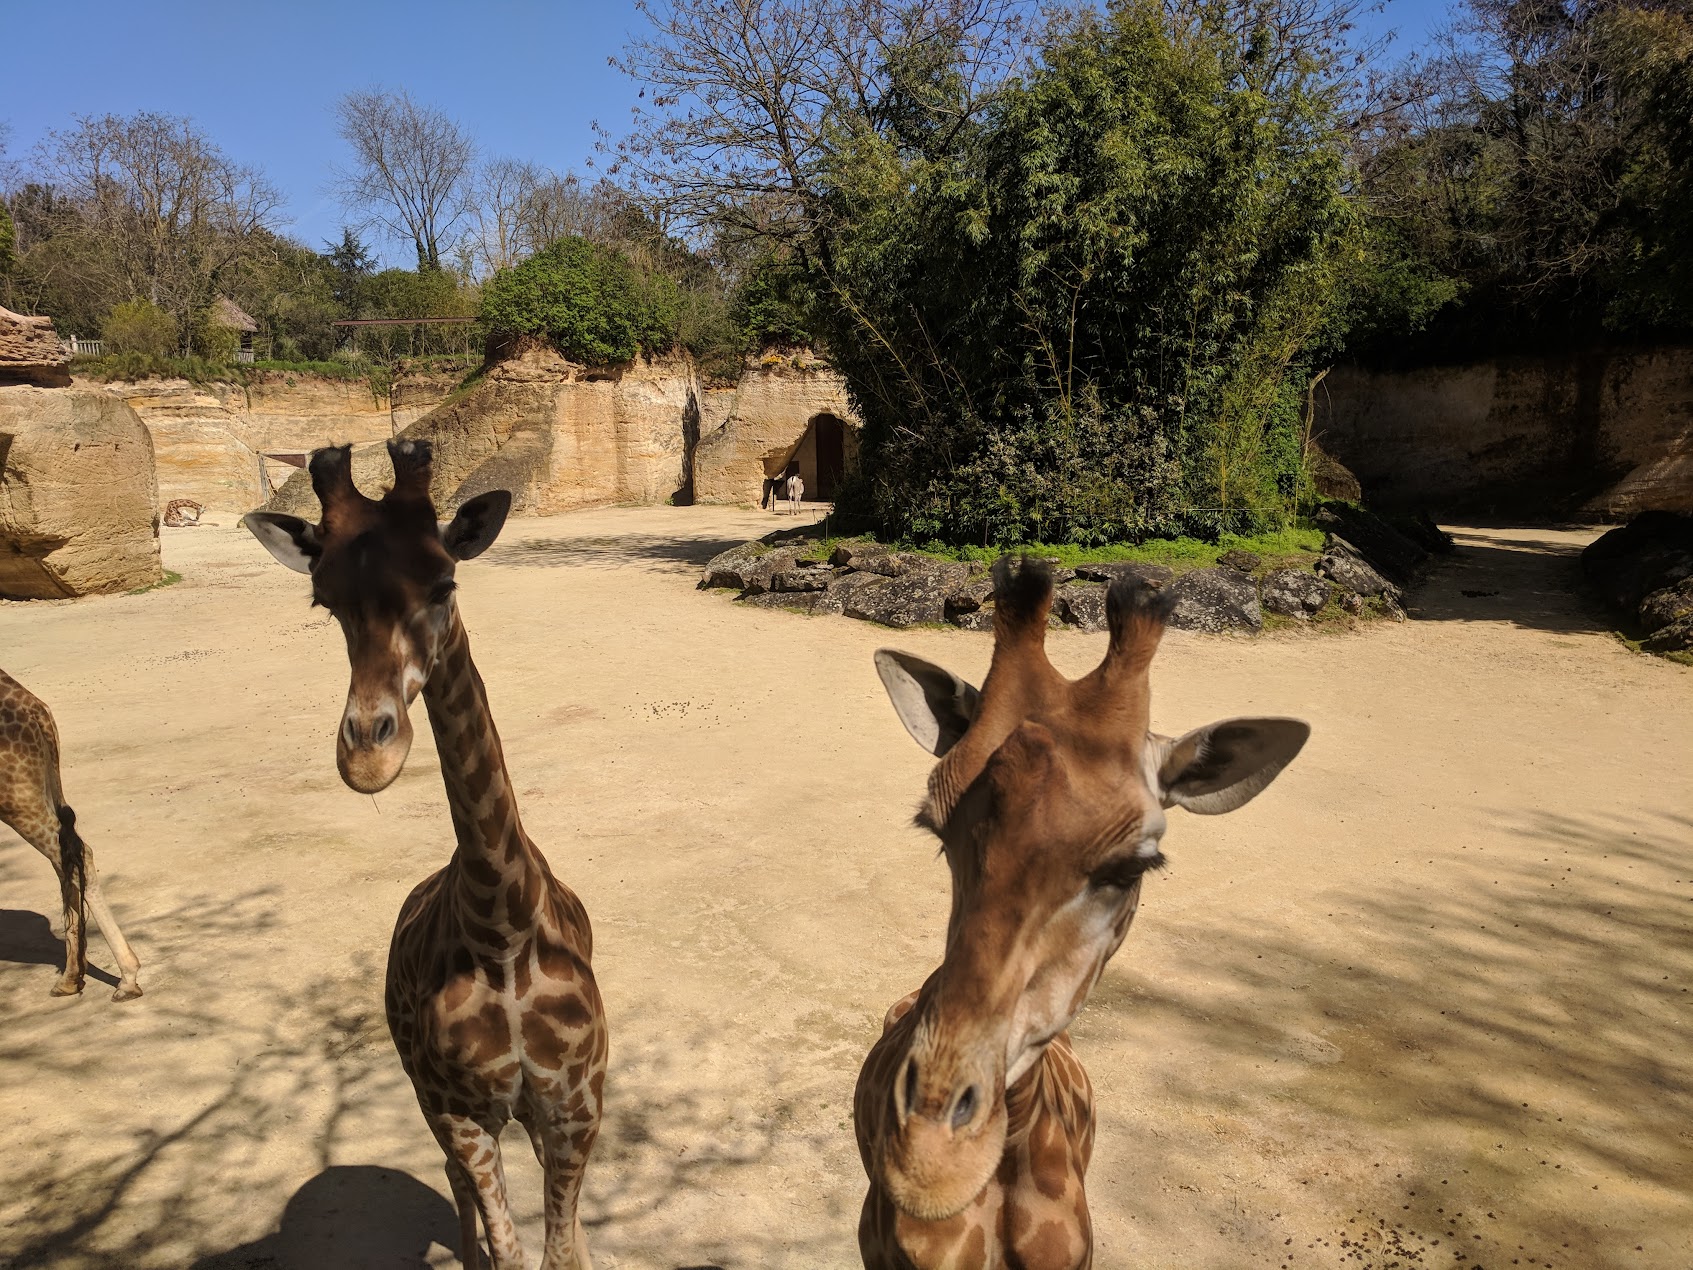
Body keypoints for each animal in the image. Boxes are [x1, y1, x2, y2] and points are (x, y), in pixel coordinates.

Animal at [0, 669, 143, 1001]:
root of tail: (35, 707)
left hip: (14, 796)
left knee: (74, 856)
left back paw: (126, 979)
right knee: (66, 858)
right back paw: (70, 977)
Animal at [243, 440, 606, 1270]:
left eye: (444, 582)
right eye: (324, 602)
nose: (367, 757)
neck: (500, 930)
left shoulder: (575, 1104)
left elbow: (562, 1252)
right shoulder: (460, 1108)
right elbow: (509, 1247)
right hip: (424, 1091)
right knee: (455, 1182)